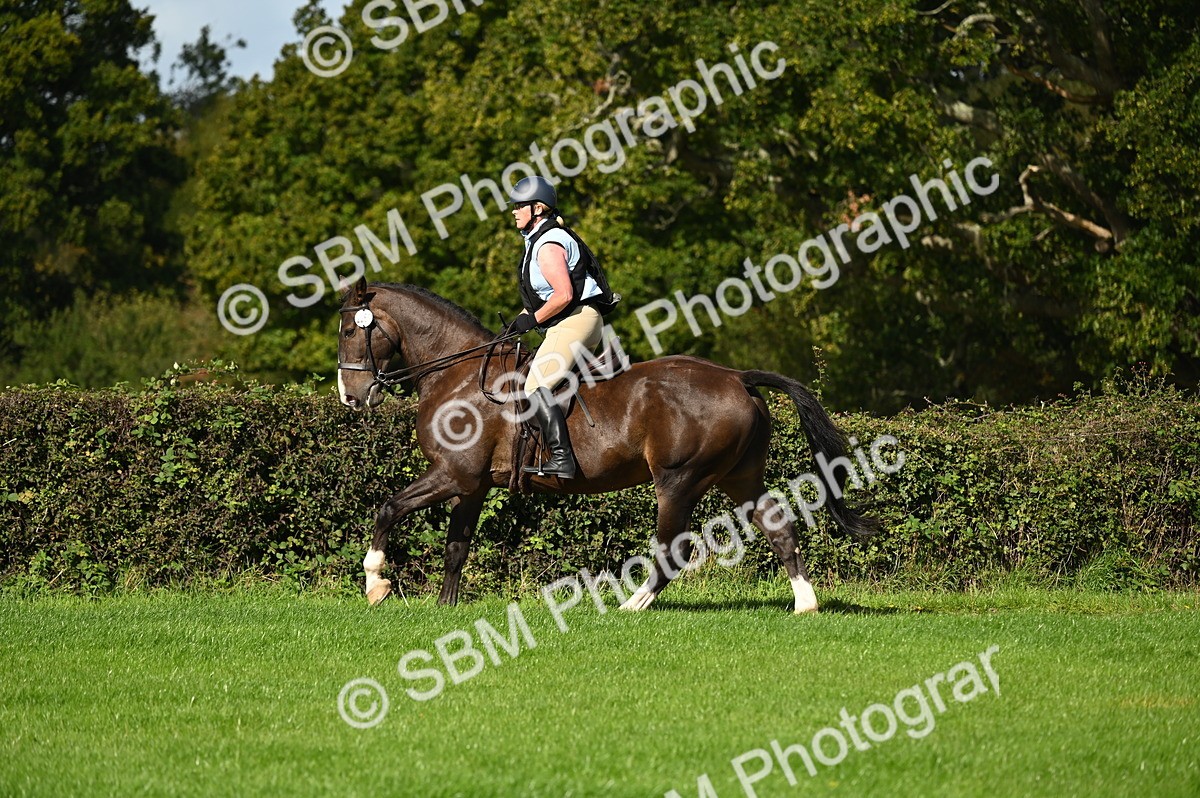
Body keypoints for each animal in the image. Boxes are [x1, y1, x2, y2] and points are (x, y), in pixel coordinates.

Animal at [336, 277, 878, 613]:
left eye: (348, 331)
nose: (351, 396)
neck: (460, 374)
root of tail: (736, 377)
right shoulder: (472, 484)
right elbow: (456, 546)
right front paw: (444, 607)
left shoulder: (453, 474)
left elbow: (387, 508)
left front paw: (376, 584)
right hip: (739, 476)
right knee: (778, 527)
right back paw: (805, 604)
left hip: (679, 480)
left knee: (674, 548)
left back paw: (632, 604)